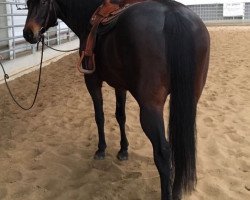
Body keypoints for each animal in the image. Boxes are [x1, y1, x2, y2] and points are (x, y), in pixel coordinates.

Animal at [23, 0, 209, 199]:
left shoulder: (92, 81)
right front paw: (123, 150)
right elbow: (121, 116)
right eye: (27, 3)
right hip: (189, 102)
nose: (28, 33)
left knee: (163, 152)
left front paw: (101, 149)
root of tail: (172, 13)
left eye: (43, 2)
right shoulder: (120, 85)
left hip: (150, 108)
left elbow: (100, 116)